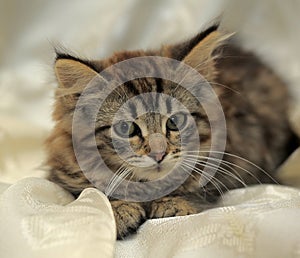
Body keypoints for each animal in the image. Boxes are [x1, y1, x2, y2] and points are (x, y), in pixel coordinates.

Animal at [45, 24, 296, 238]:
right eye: (126, 128)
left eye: (175, 122)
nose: (159, 154)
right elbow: (93, 190)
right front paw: (119, 210)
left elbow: (196, 187)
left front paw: (172, 203)